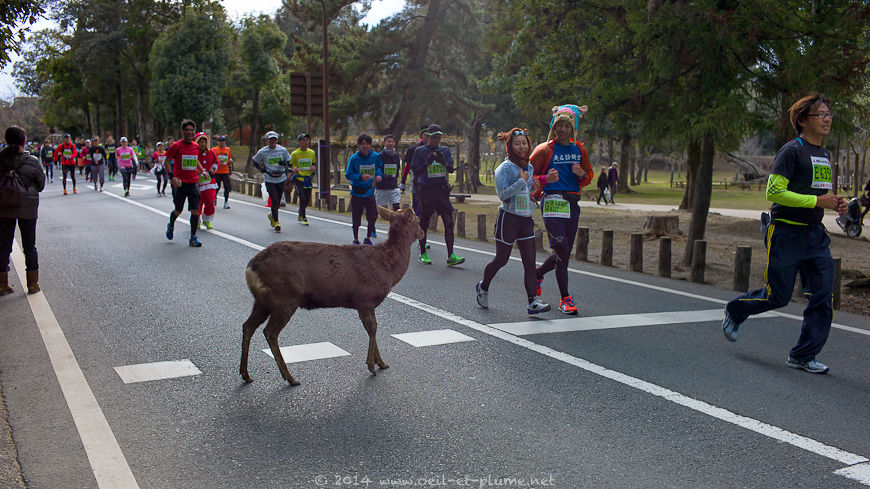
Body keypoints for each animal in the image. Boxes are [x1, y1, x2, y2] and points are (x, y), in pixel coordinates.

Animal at [242, 204, 426, 384]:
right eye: (417, 220)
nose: (423, 232)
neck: (388, 268)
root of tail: (251, 268)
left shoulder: (365, 303)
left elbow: (371, 329)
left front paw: (381, 362)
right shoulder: (365, 299)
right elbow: (373, 328)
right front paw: (372, 365)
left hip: (262, 301)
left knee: (248, 326)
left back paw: (246, 374)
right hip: (285, 297)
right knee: (270, 332)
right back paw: (290, 377)